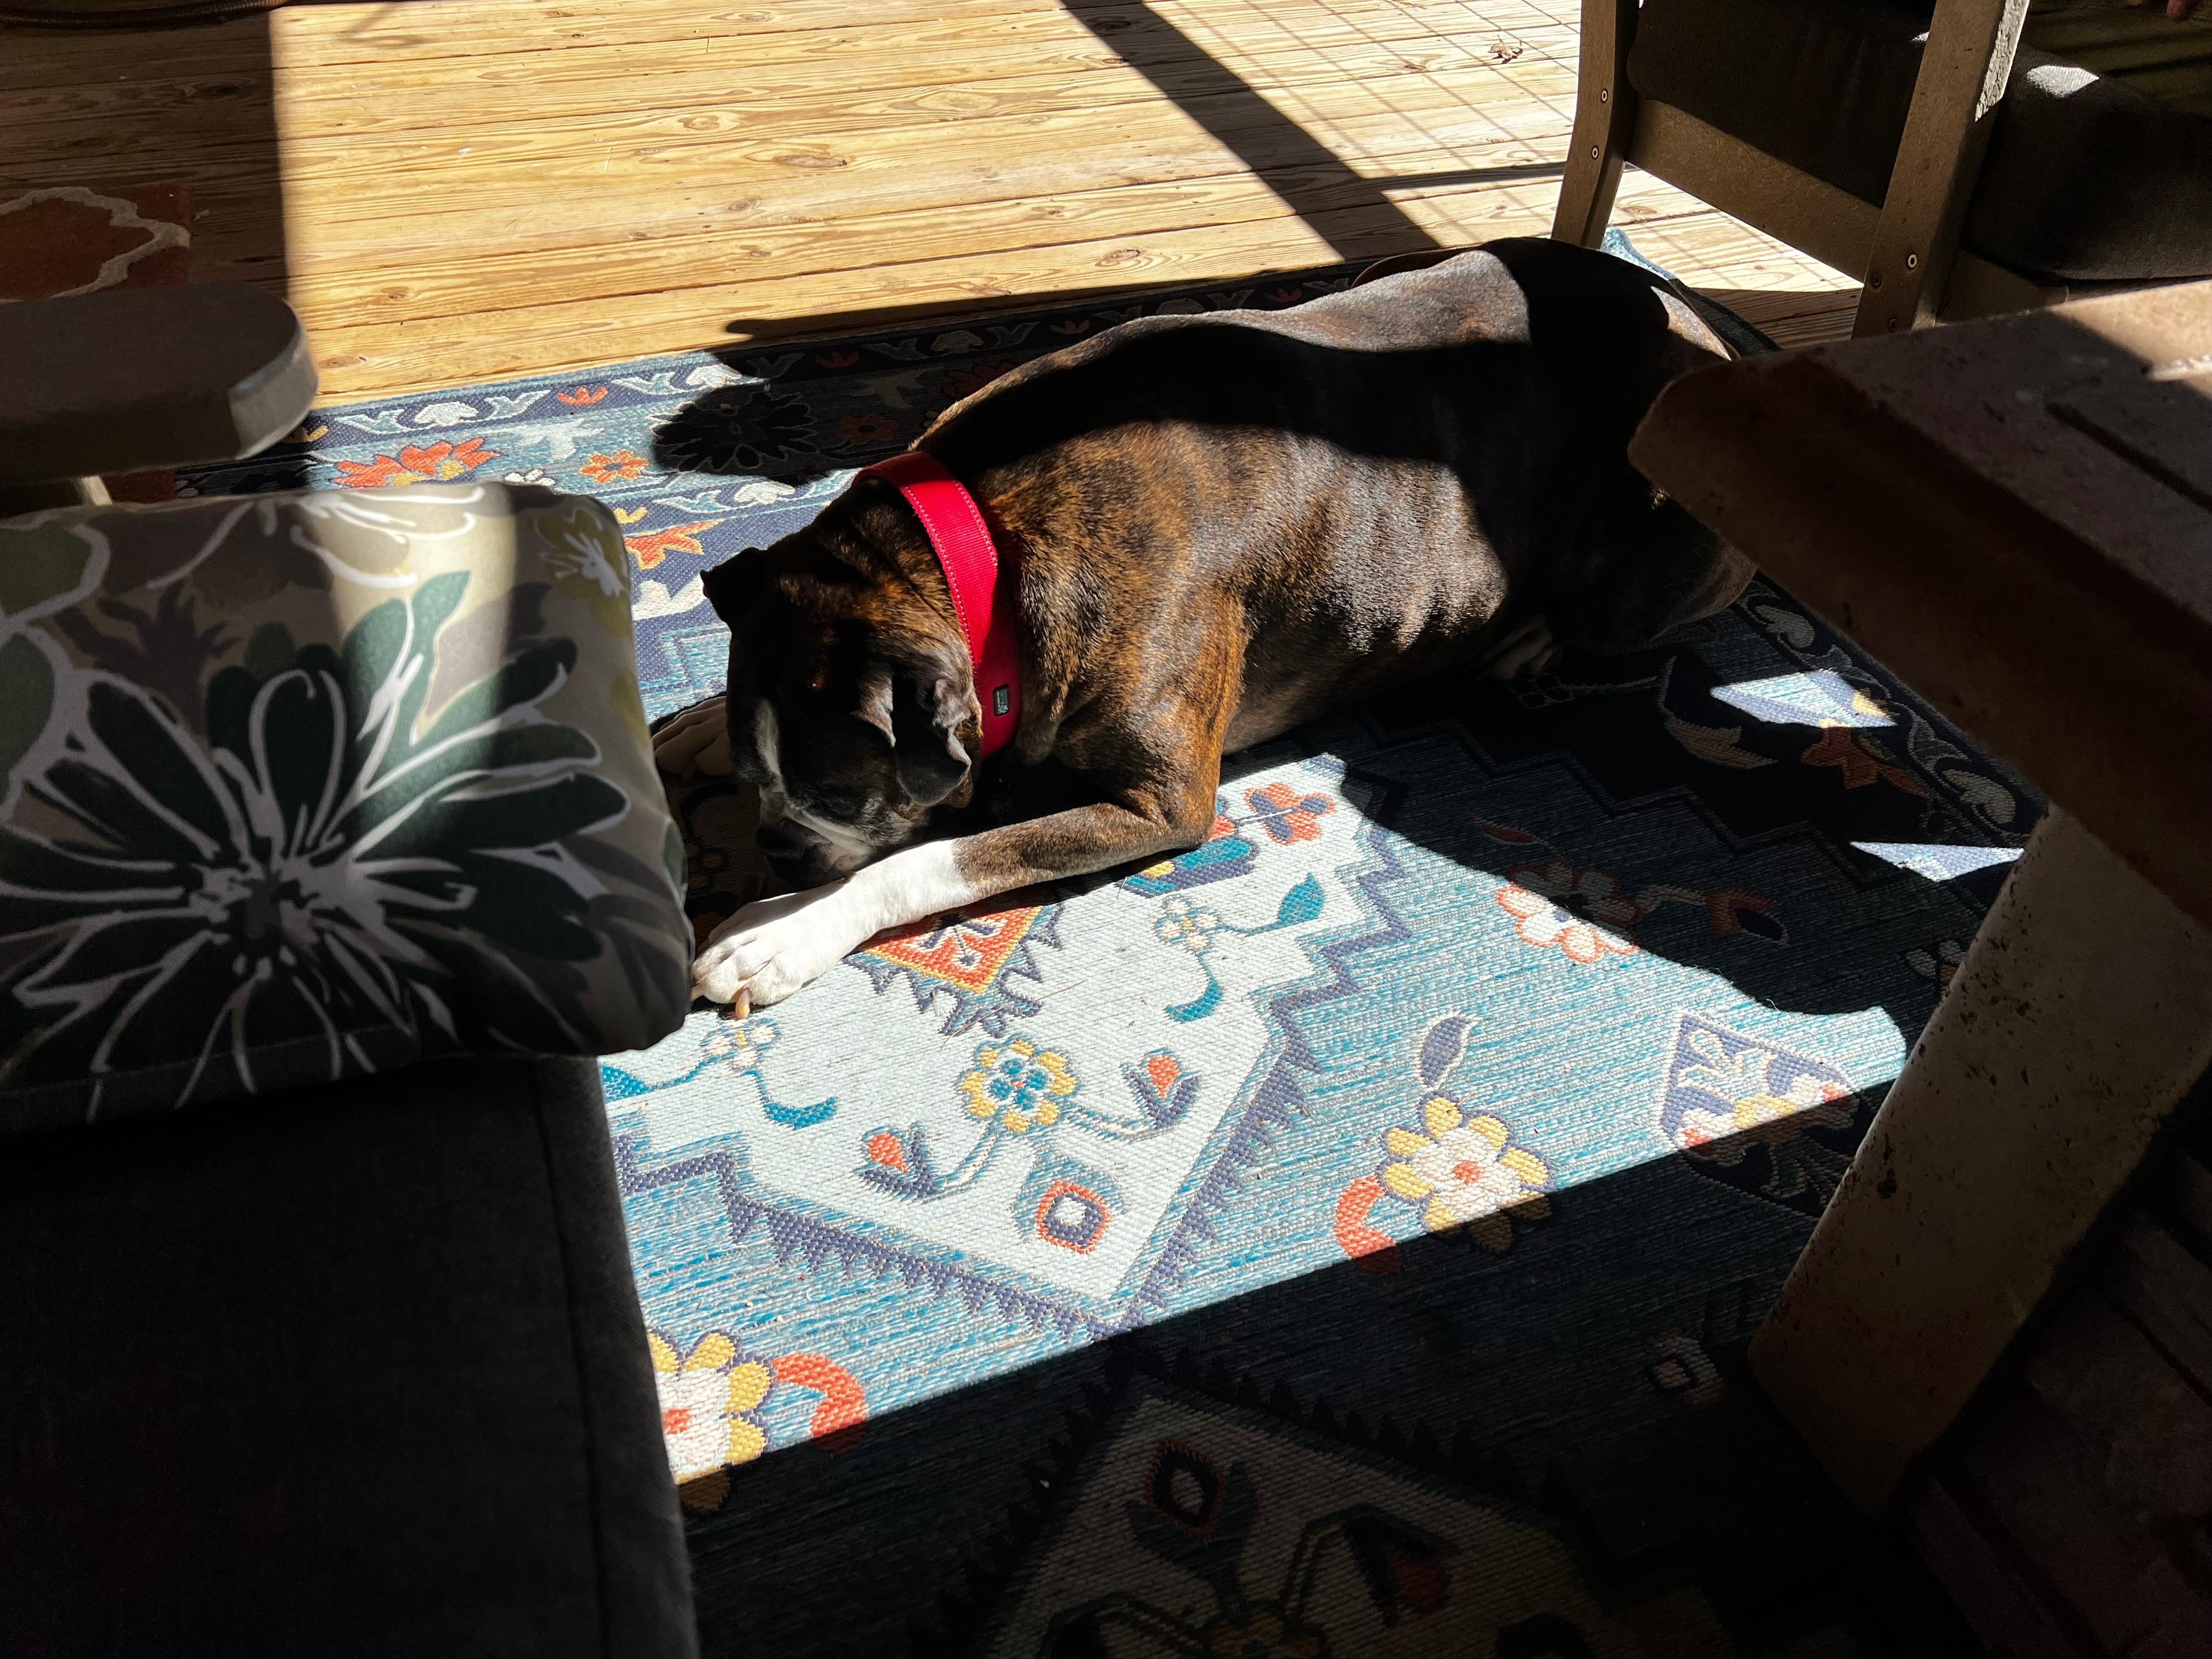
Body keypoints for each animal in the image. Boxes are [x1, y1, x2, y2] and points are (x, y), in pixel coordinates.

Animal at [655, 237, 1750, 1011]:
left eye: (837, 795)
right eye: (756, 781)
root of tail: (1689, 309)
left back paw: (1534, 636)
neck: (983, 535)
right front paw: (699, 723)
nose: (778, 852)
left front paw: (784, 929)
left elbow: (934, 857)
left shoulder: (1160, 804)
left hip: (1669, 539)